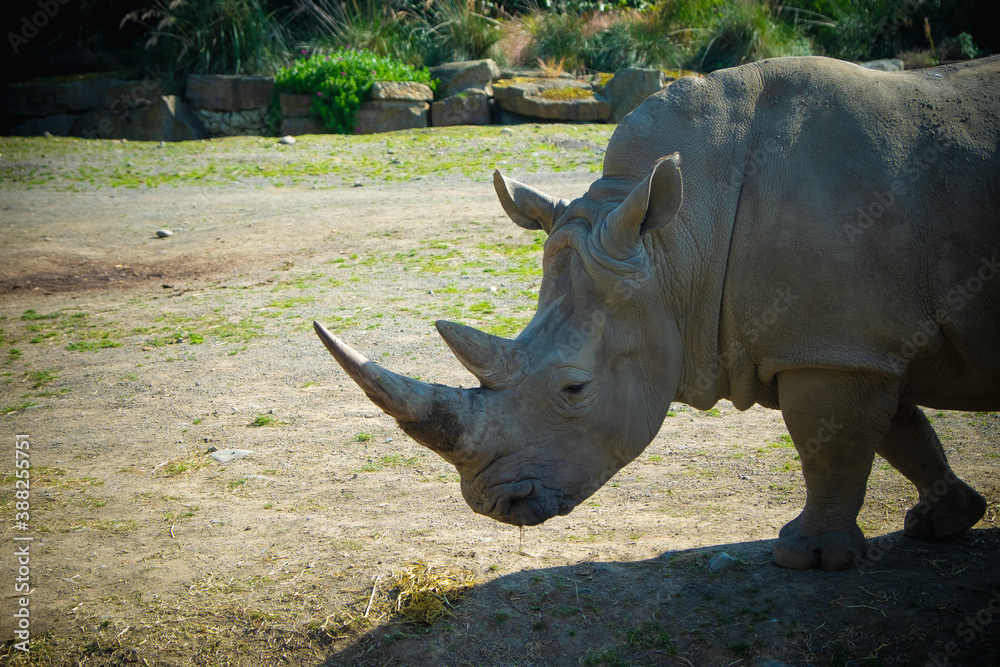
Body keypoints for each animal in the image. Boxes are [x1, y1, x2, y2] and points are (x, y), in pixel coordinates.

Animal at [315, 56, 1000, 571]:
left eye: (574, 388)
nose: (494, 504)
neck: (685, 239)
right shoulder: (852, 340)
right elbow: (897, 430)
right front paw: (943, 522)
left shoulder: (832, 347)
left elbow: (831, 445)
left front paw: (805, 558)